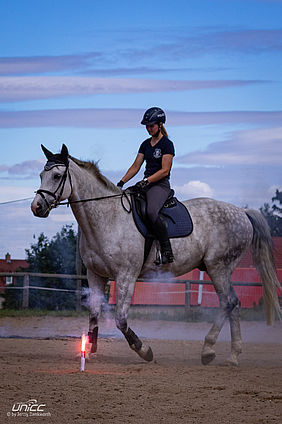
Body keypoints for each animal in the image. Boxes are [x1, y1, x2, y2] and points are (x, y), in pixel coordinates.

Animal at [31, 144, 282, 366]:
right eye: (41, 174)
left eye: (56, 175)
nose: (36, 207)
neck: (106, 218)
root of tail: (243, 212)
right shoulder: (95, 275)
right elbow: (93, 313)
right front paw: (89, 352)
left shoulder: (126, 276)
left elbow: (120, 319)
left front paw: (144, 350)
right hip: (219, 269)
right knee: (234, 305)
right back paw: (233, 356)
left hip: (218, 266)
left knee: (229, 303)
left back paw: (208, 350)